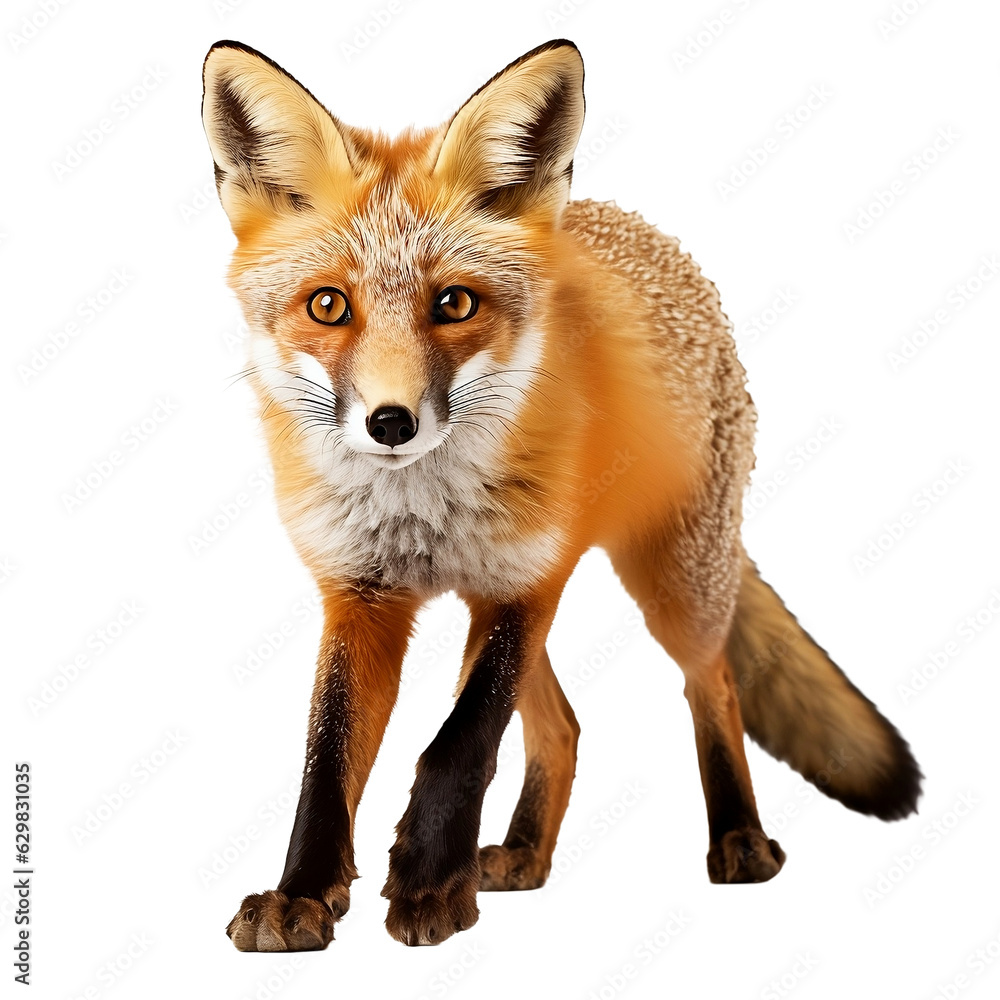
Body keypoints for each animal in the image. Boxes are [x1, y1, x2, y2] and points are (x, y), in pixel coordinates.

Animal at [201, 38, 922, 950]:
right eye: (328, 306)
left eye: (455, 303)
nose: (391, 422)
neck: (419, 512)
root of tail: (642, 231)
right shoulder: (362, 595)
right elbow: (326, 761)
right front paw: (302, 894)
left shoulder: (526, 579)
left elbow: (459, 743)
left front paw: (428, 886)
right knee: (565, 727)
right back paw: (521, 853)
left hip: (668, 577)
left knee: (711, 684)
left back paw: (739, 838)